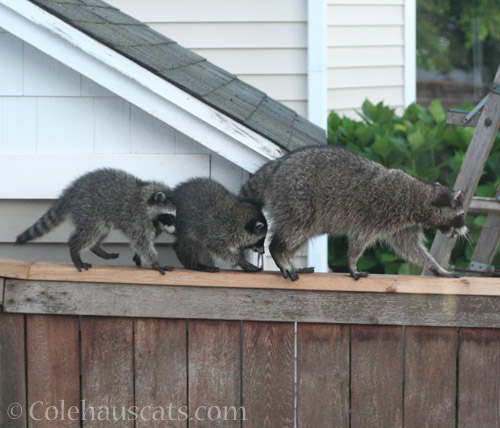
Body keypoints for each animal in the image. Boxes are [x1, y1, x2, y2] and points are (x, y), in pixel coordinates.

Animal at [16, 168, 176, 274]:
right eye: (168, 216)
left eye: (174, 216)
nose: (174, 231)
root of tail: (71, 192)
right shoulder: (137, 218)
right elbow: (141, 241)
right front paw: (155, 262)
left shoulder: (153, 222)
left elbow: (148, 239)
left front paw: (141, 256)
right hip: (89, 208)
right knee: (90, 231)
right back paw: (75, 250)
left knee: (101, 230)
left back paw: (97, 248)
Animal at [240, 145, 466, 282]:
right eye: (462, 215)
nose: (466, 230)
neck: (422, 197)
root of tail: (277, 166)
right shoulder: (379, 212)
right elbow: (360, 238)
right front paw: (352, 263)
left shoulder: (405, 225)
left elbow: (410, 248)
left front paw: (436, 267)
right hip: (297, 198)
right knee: (295, 230)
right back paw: (279, 252)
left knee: (301, 234)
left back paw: (289, 257)